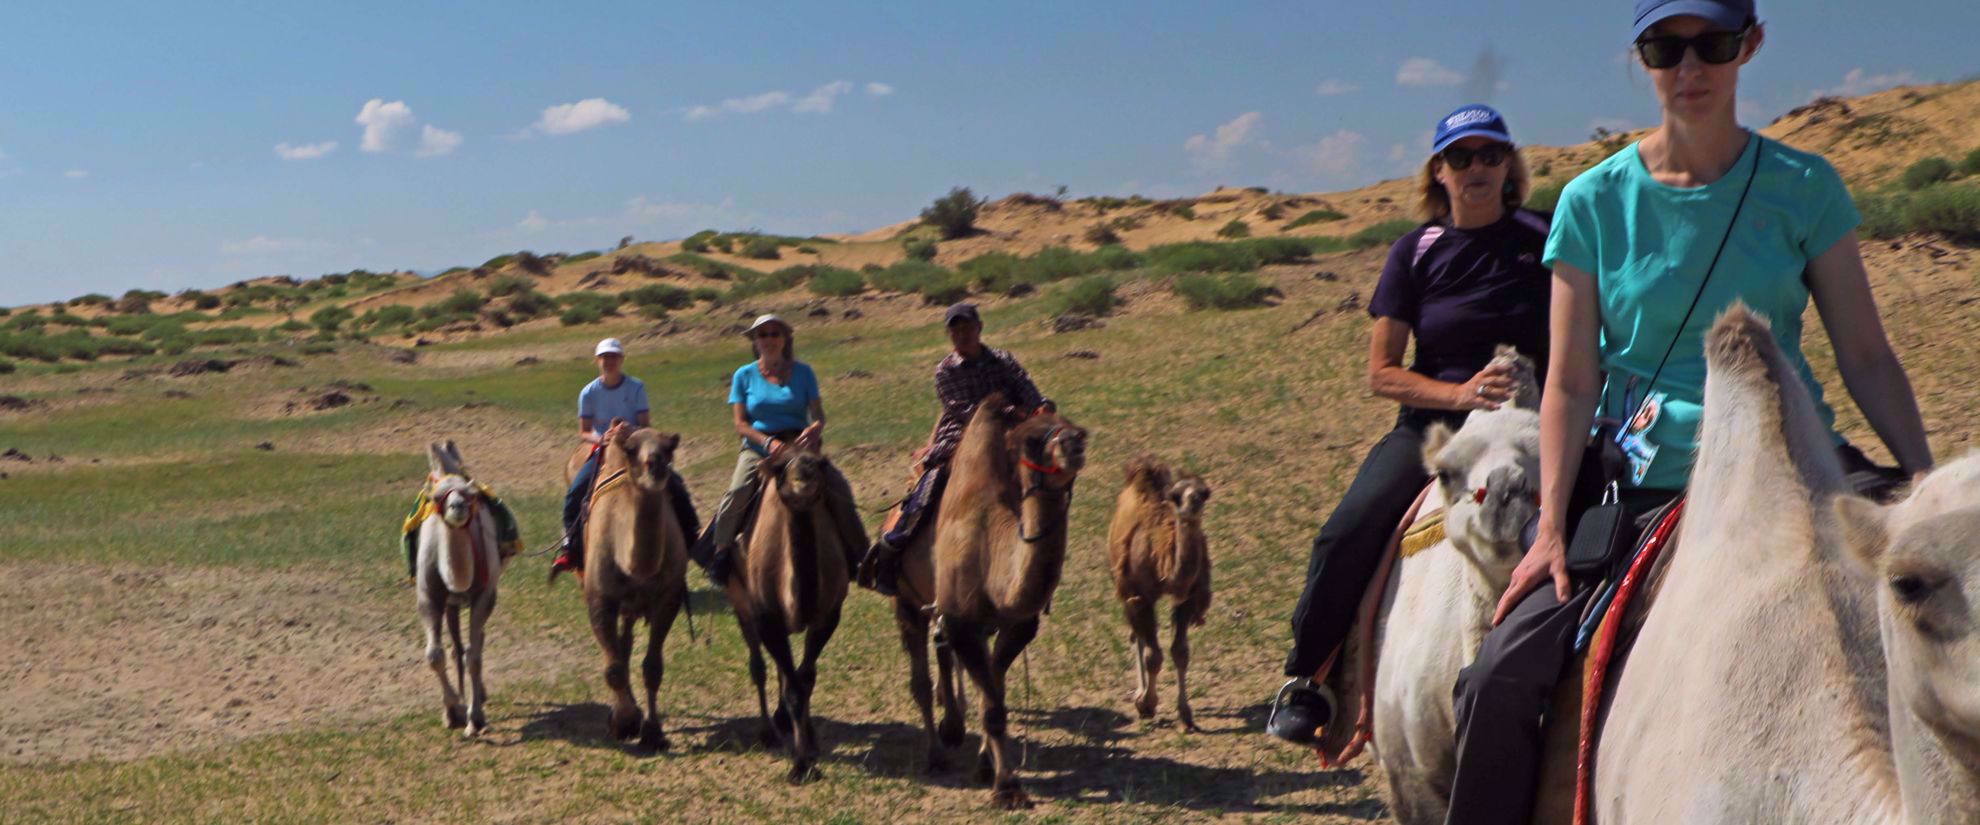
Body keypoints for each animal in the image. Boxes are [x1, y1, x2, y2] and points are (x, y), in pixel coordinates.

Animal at [414, 440, 505, 738]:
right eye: (434, 498)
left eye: (471, 493)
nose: (457, 506)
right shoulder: (428, 597)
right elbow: (434, 655)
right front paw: (453, 709)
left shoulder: (484, 595)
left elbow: (474, 656)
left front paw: (474, 718)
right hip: (451, 604)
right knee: (456, 647)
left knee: (472, 645)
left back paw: (480, 695)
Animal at [563, 426, 690, 750]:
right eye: (632, 450)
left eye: (669, 448)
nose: (655, 465)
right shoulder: (600, 599)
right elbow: (614, 668)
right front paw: (624, 722)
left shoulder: (667, 598)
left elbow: (652, 667)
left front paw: (653, 731)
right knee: (619, 650)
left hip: (633, 605)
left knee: (626, 643)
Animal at [725, 449, 850, 784]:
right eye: (783, 467)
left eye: (820, 464)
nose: (804, 473)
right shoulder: (767, 618)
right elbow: (792, 686)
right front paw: (800, 765)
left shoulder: (827, 616)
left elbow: (805, 679)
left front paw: (810, 743)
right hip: (740, 601)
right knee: (758, 666)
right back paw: (768, 732)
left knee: (787, 672)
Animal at [891, 392, 1088, 809]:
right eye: (1032, 439)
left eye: (1077, 427)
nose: (1074, 443)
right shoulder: (964, 622)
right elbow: (993, 705)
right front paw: (1007, 788)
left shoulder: (1016, 624)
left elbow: (993, 694)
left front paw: (986, 766)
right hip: (904, 599)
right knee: (920, 677)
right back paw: (936, 753)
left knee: (943, 650)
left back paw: (952, 727)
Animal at [1106, 456, 1212, 730]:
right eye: (1175, 496)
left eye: (1205, 492)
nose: (1192, 504)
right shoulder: (1141, 596)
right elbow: (1153, 656)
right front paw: (1146, 704)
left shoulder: (1188, 599)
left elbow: (1180, 652)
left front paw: (1186, 715)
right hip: (1124, 585)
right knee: (1137, 637)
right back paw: (1140, 694)